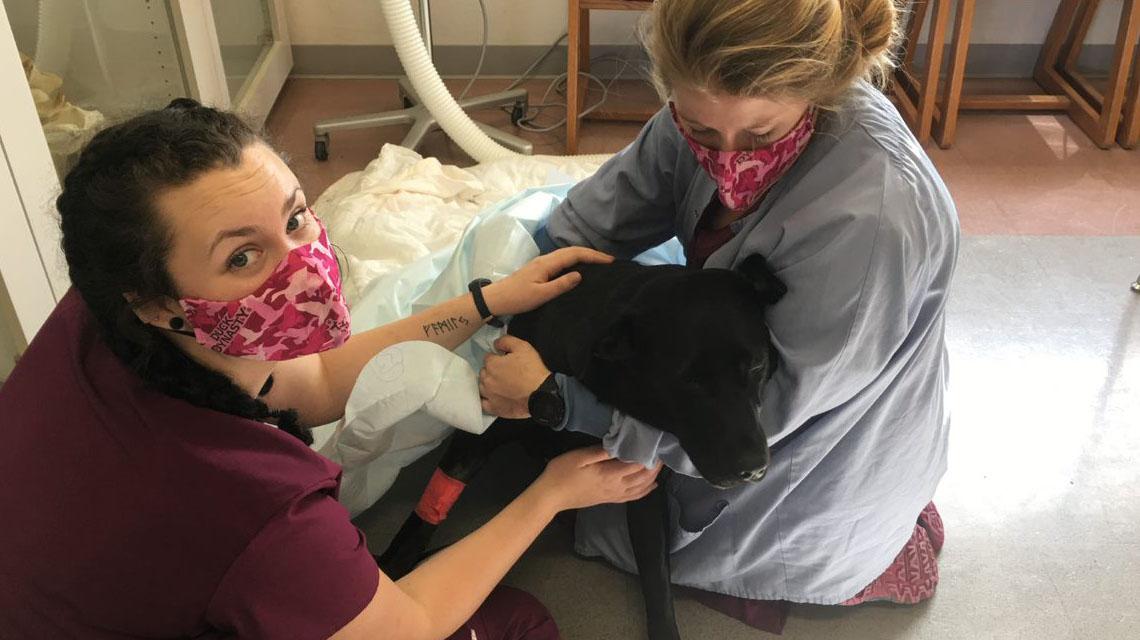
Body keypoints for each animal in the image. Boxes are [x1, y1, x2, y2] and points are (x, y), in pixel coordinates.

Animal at [378, 255, 788, 638]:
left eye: (758, 366)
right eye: (689, 380)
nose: (753, 468)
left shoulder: (644, 490)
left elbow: (657, 578)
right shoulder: (479, 433)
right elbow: (424, 517)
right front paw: (390, 572)